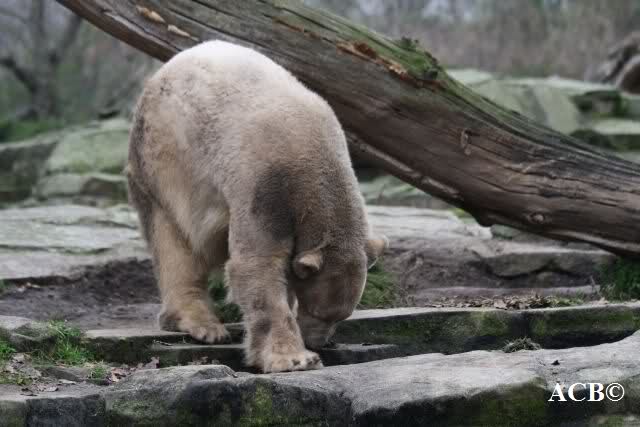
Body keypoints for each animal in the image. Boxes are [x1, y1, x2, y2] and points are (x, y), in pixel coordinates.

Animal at [126, 41, 387, 373]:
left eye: (341, 316)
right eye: (317, 312)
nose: (319, 342)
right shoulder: (266, 188)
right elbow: (257, 265)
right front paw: (295, 358)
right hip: (163, 161)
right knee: (174, 240)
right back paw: (203, 325)